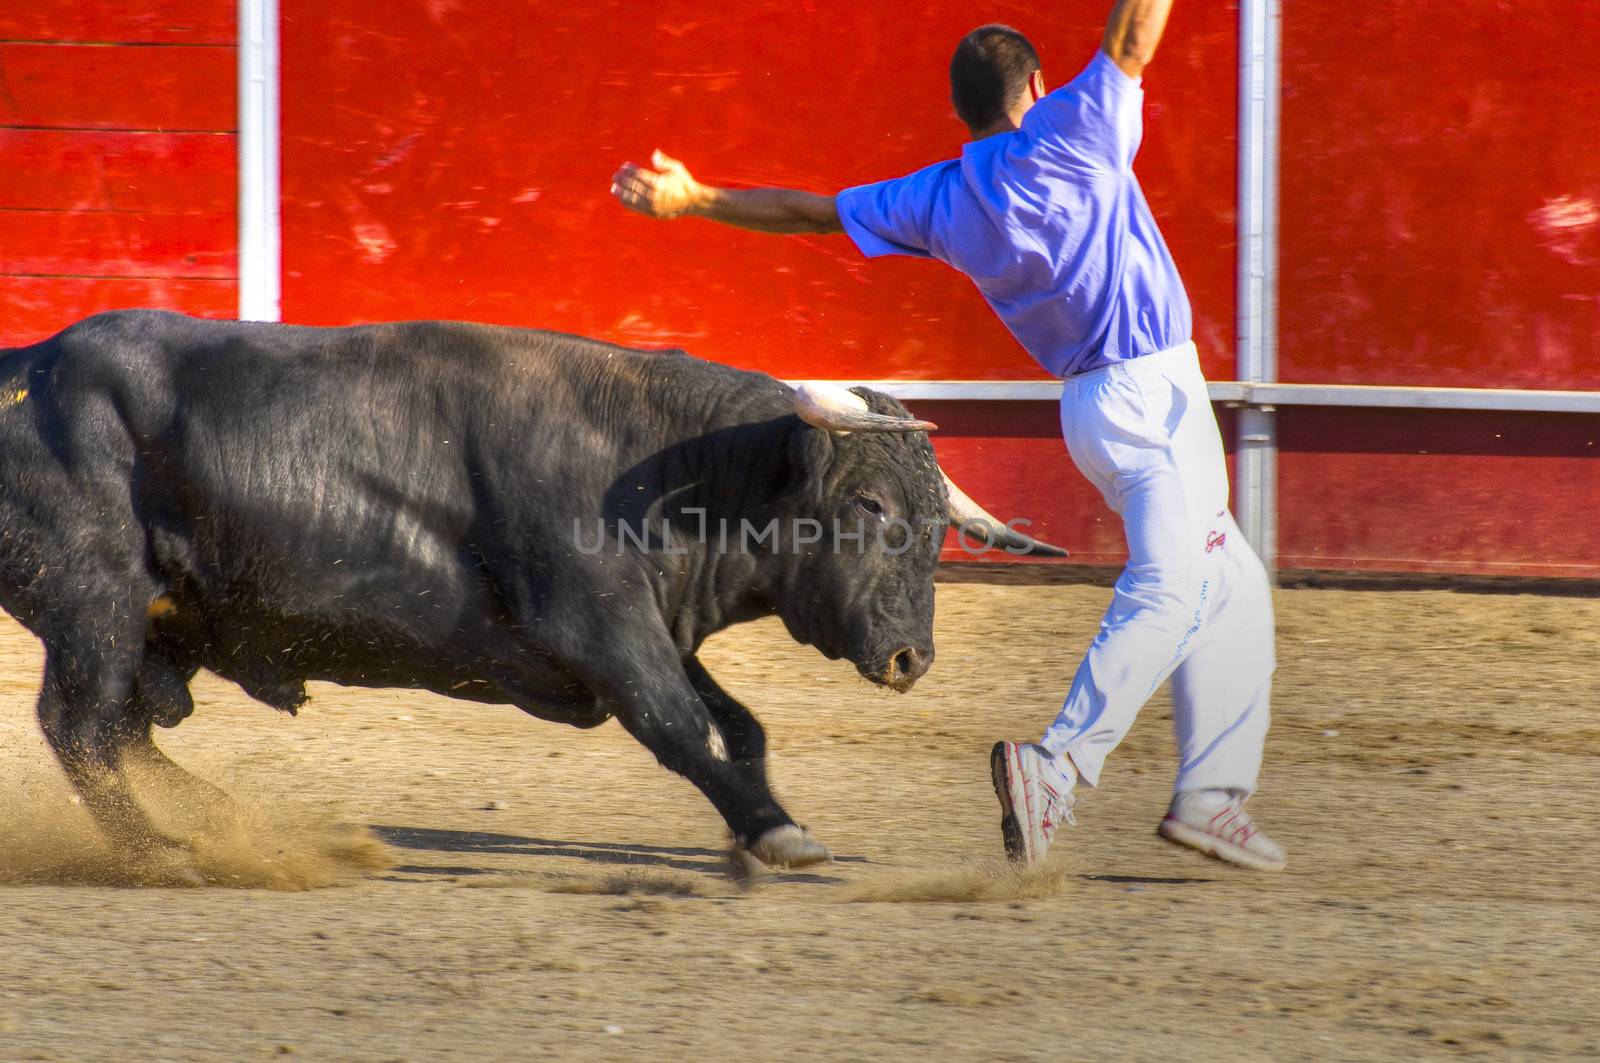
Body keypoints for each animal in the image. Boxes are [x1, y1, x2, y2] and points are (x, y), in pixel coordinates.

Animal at [0, 312, 1062, 870]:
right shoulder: (600, 626)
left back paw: (222, 819)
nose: (910, 657)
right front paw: (777, 832)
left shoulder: (650, 628)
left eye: (938, 521)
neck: (664, 469)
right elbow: (684, 726)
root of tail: (27, 364)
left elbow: (740, 725)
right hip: (96, 605)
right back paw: (163, 852)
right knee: (80, 725)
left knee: (119, 731)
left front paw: (759, 821)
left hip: (147, 628)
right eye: (871, 503)